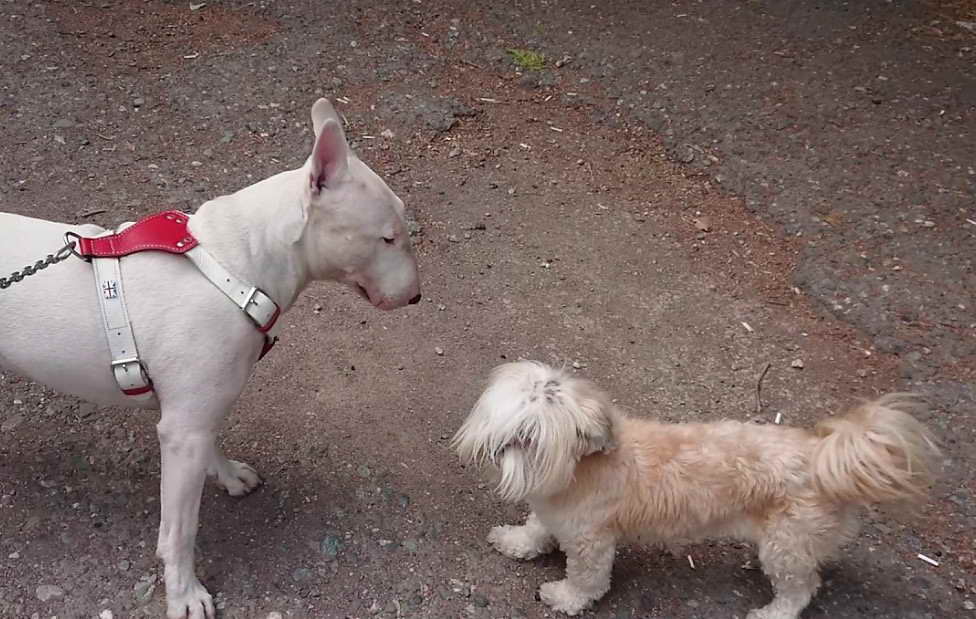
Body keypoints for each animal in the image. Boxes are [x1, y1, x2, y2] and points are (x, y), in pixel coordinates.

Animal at [454, 360, 940, 619]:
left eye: (530, 436)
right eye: (507, 420)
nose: (497, 450)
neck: (577, 470)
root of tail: (822, 455)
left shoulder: (592, 542)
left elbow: (587, 580)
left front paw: (564, 597)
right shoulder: (553, 514)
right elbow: (536, 529)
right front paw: (517, 542)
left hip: (786, 546)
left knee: (800, 590)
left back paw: (772, 613)